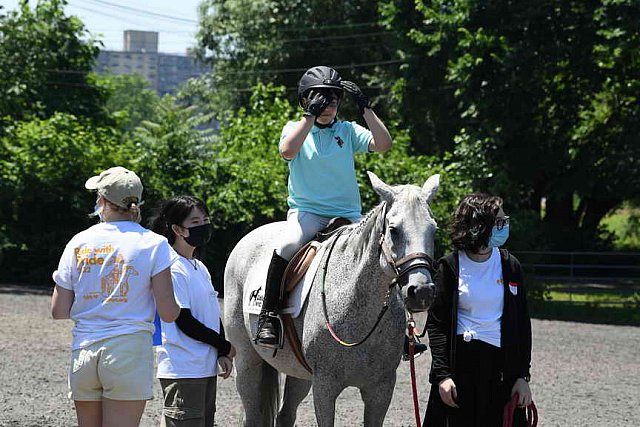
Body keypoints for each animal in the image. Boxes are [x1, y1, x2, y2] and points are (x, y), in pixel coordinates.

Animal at [225, 172, 440, 426]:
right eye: (394, 230)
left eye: (433, 230)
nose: (422, 291)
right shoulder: (325, 386)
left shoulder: (381, 389)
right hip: (247, 362)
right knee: (254, 414)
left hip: (299, 372)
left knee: (285, 414)